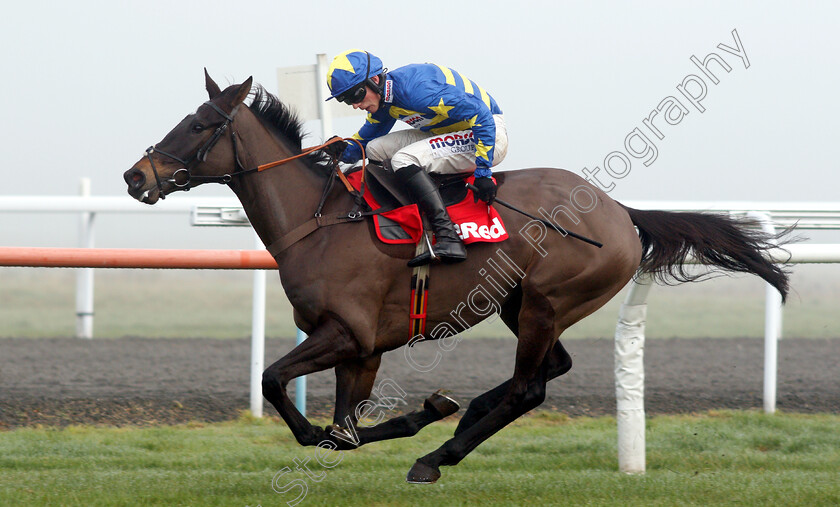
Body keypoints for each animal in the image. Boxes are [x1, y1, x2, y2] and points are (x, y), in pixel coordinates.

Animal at [123, 72, 788, 484]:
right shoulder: (362, 349)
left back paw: (438, 455)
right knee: (546, 370)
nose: (135, 177)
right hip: (519, 304)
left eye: (199, 124)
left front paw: (426, 415)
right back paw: (465, 417)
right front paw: (429, 408)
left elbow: (283, 391)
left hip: (547, 300)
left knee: (528, 388)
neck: (319, 221)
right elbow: (340, 432)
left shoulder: (347, 334)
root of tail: (619, 211)